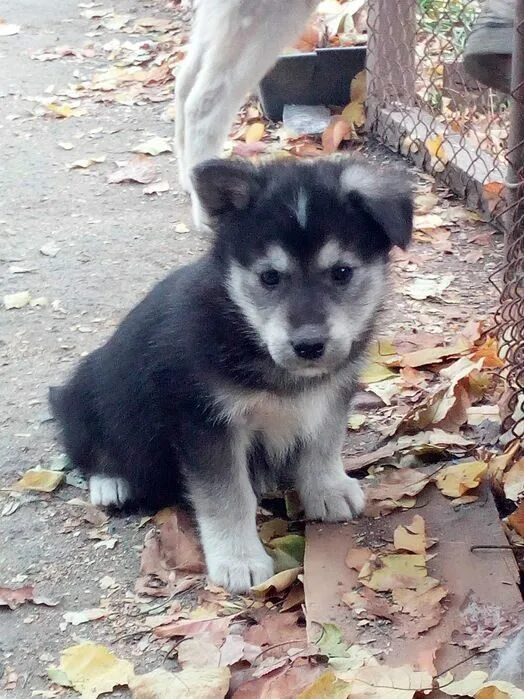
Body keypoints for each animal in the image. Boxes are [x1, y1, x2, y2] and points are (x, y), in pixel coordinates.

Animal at [49, 157, 412, 592]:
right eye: (269, 277)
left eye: (342, 272)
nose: (309, 345)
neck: (248, 333)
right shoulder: (206, 423)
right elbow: (229, 498)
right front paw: (239, 560)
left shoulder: (331, 395)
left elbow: (324, 444)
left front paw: (328, 489)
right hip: (87, 392)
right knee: (85, 446)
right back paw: (111, 483)